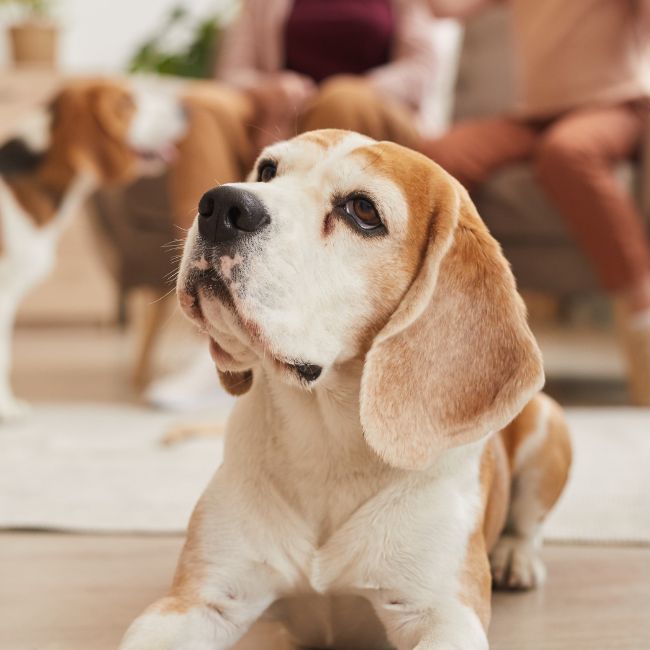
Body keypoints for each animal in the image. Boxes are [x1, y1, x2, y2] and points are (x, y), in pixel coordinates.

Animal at [120, 129, 568, 644]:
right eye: (268, 171)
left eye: (363, 210)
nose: (220, 204)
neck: (328, 445)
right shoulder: (197, 601)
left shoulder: (443, 615)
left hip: (547, 423)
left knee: (529, 524)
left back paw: (517, 557)